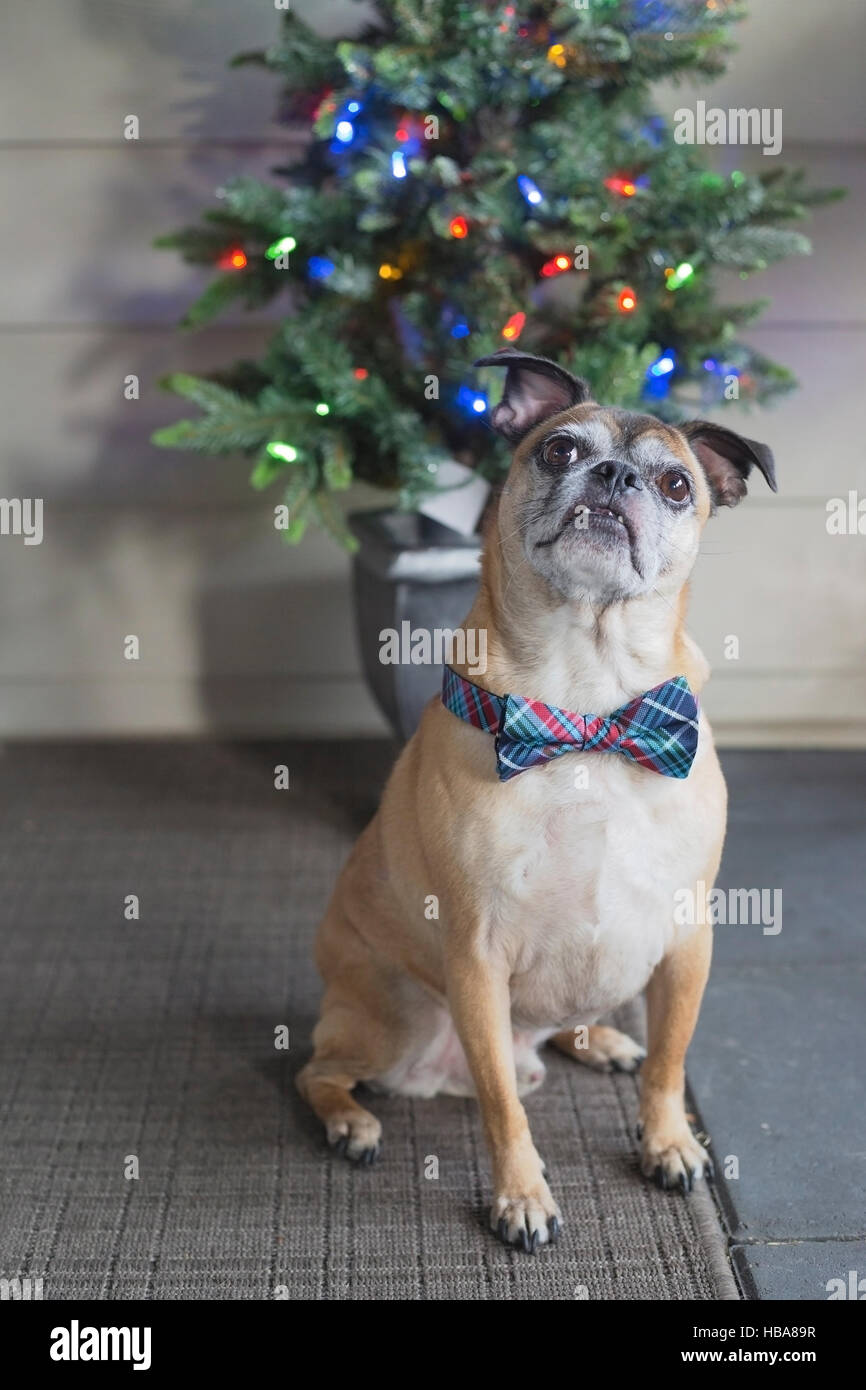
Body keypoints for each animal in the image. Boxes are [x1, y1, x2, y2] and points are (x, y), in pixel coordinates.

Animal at [300, 347, 778, 1251]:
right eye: (559, 450)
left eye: (676, 485)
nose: (614, 473)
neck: (588, 707)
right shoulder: (477, 956)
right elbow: (502, 1106)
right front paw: (521, 1196)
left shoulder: (686, 941)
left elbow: (670, 1064)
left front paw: (668, 1143)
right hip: (395, 1018)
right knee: (318, 1070)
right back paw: (351, 1122)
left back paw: (603, 1042)